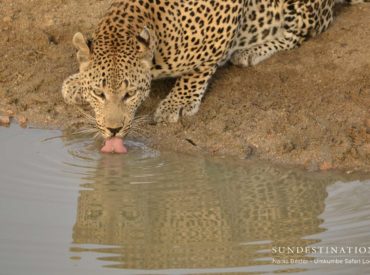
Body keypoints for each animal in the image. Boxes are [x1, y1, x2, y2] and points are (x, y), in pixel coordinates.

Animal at [60, 0, 368, 141]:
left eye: (130, 94)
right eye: (99, 93)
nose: (113, 131)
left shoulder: (222, 16)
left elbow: (202, 65)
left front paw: (179, 102)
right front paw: (75, 83)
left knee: (306, 32)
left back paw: (250, 51)